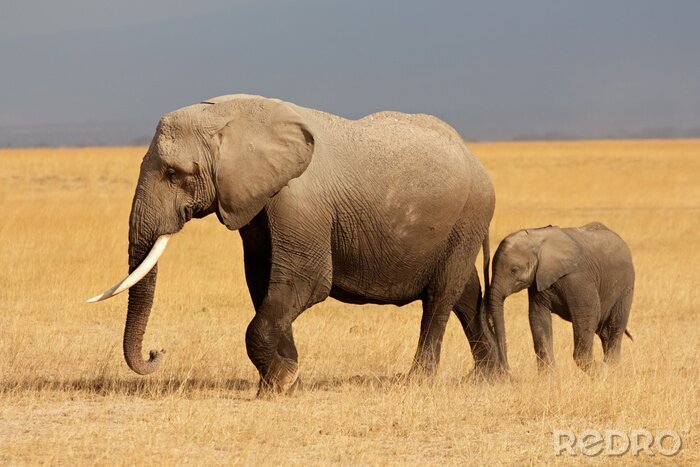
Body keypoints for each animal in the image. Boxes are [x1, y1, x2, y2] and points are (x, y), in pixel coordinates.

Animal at [88, 94, 500, 394]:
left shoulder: (299, 201)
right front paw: (284, 377)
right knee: (466, 293)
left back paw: (418, 381)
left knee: (440, 297)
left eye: (175, 174)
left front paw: (281, 383)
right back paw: (489, 377)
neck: (232, 116)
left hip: (469, 215)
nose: (157, 352)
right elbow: (263, 283)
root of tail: (476, 159)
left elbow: (305, 282)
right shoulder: (254, 201)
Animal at [484, 222, 634, 373]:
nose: (507, 369)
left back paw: (612, 369)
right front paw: (548, 376)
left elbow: (588, 315)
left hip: (626, 288)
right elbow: (538, 318)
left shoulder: (578, 278)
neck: (538, 238)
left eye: (514, 270)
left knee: (615, 327)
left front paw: (598, 371)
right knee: (605, 332)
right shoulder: (538, 281)